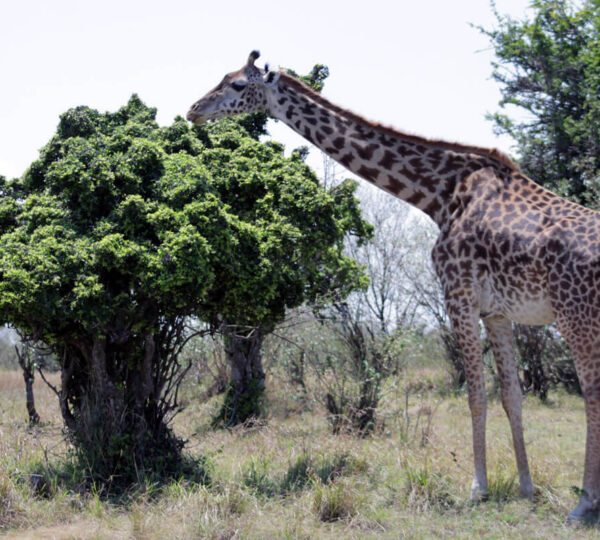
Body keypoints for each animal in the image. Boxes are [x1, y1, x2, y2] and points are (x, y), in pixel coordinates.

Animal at [188, 50, 600, 520]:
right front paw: (526, 487)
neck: (438, 195)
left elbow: (476, 395)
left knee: (592, 394)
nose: (194, 110)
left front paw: (477, 488)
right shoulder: (497, 310)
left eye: (238, 84)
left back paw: (584, 503)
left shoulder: (457, 294)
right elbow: (512, 395)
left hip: (575, 315)